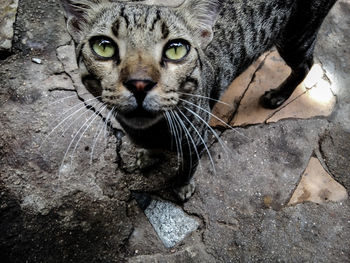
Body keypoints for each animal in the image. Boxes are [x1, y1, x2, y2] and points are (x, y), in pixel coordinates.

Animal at [61, 0, 338, 200]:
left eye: (176, 49)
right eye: (104, 46)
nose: (140, 83)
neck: (151, 131)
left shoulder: (197, 139)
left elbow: (188, 167)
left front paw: (182, 186)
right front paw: (148, 155)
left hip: (298, 36)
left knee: (307, 65)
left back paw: (279, 95)